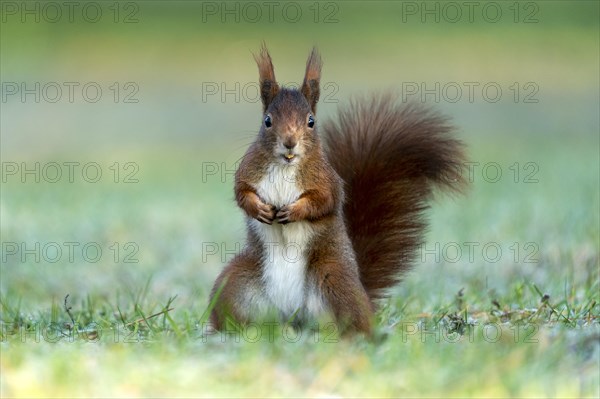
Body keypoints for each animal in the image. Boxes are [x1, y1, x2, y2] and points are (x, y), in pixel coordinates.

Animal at [209, 45, 466, 336]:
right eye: (267, 121)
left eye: (310, 121)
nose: (289, 143)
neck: (285, 165)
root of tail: (292, 316)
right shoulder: (247, 173)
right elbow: (242, 194)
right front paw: (259, 209)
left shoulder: (328, 182)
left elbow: (324, 202)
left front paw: (294, 211)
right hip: (235, 285)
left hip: (334, 280)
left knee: (352, 322)